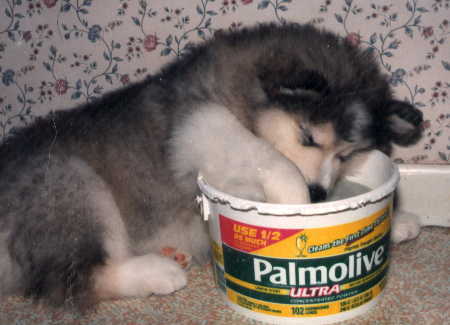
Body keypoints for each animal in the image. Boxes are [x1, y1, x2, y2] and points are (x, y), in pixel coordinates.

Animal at [0, 22, 422, 306]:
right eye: (307, 137)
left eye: (346, 155)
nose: (318, 194)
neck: (237, 95)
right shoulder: (200, 125)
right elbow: (268, 156)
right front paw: (295, 204)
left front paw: (395, 220)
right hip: (70, 184)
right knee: (72, 280)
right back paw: (158, 271)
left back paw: (170, 254)